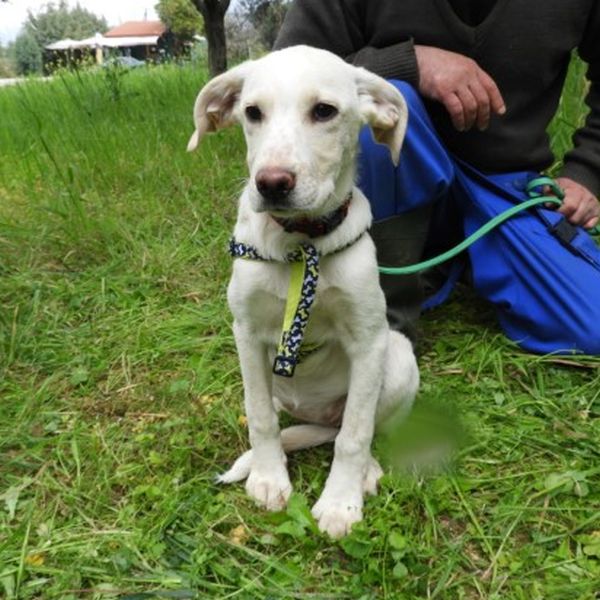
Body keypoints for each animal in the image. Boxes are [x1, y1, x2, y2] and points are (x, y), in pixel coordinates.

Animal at [187, 46, 419, 538]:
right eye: (252, 112)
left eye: (324, 111)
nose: (271, 183)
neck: (298, 244)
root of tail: (317, 417)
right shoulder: (246, 333)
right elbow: (260, 418)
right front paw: (268, 477)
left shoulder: (368, 339)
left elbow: (355, 434)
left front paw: (340, 503)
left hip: (398, 357)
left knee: (355, 428)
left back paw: (366, 470)